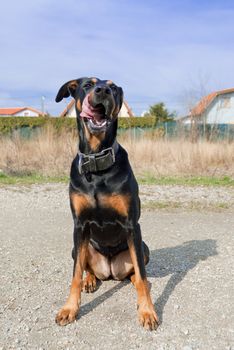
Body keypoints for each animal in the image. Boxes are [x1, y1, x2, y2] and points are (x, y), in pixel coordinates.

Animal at [54, 77, 159, 330]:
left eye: (112, 87)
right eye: (87, 84)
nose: (102, 91)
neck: (97, 163)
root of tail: (110, 272)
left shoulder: (132, 225)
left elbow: (142, 274)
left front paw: (147, 311)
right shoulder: (79, 225)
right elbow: (74, 274)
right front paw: (69, 309)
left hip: (143, 247)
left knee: (137, 272)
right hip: (76, 248)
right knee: (85, 266)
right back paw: (90, 280)